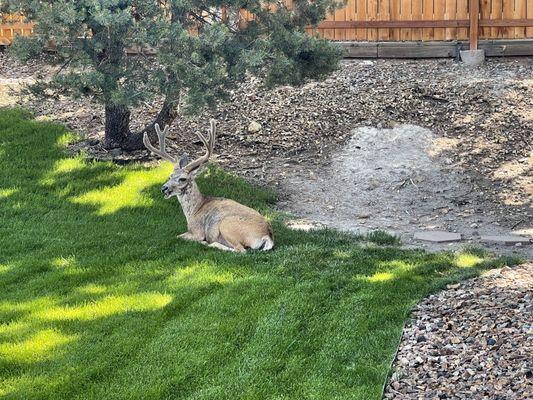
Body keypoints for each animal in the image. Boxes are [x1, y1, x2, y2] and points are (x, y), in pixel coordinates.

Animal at [142, 119, 274, 252]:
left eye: (183, 179)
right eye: (170, 176)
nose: (164, 188)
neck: (194, 210)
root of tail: (267, 235)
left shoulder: (197, 231)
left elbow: (177, 236)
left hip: (227, 225)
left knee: (240, 250)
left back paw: (209, 244)